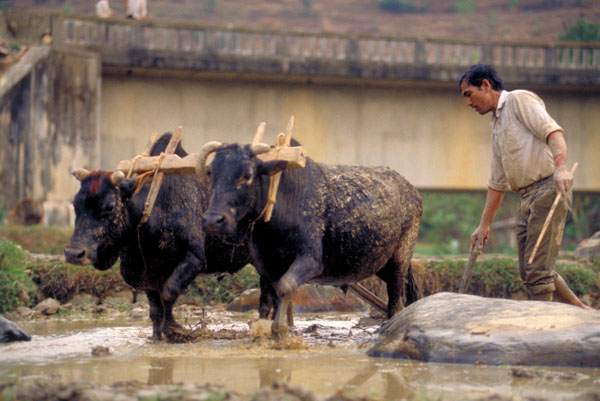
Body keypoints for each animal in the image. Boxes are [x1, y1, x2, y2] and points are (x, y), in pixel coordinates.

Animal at [64, 134, 270, 342]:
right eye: (75, 204)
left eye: (110, 206)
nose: (74, 253)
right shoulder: (148, 273)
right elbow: (155, 308)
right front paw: (157, 335)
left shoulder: (194, 259)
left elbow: (168, 294)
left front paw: (174, 329)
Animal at [199, 140, 423, 338]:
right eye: (210, 173)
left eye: (246, 175)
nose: (212, 220)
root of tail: (412, 191)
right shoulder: (266, 266)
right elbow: (271, 298)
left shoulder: (311, 260)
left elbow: (286, 286)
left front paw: (280, 331)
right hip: (382, 264)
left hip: (400, 259)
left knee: (396, 300)